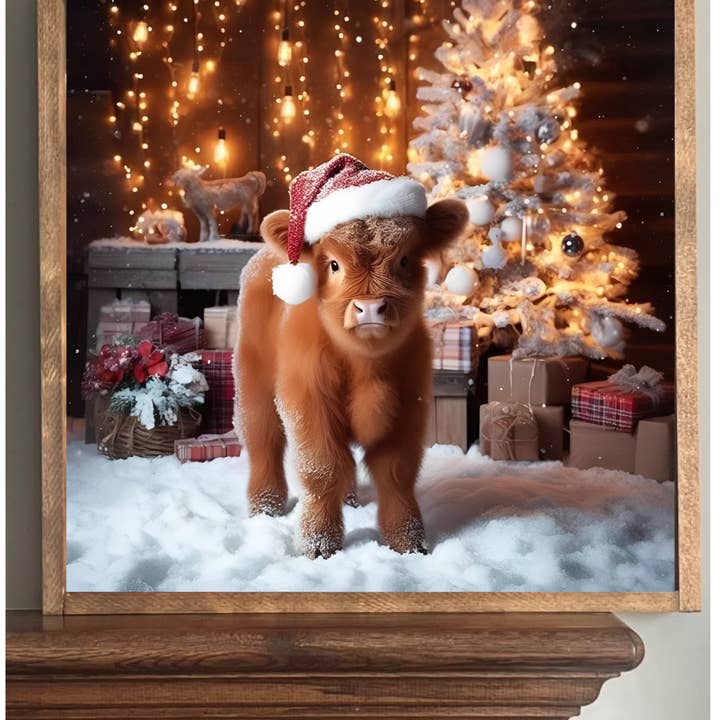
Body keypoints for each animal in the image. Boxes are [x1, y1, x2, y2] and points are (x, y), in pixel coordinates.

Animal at [233, 156, 468, 559]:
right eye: (333, 265)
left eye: (404, 260)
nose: (370, 308)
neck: (366, 367)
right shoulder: (307, 403)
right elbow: (322, 469)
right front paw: (317, 544)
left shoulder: (410, 406)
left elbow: (396, 473)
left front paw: (408, 542)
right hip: (254, 386)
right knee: (263, 441)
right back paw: (265, 507)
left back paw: (349, 500)